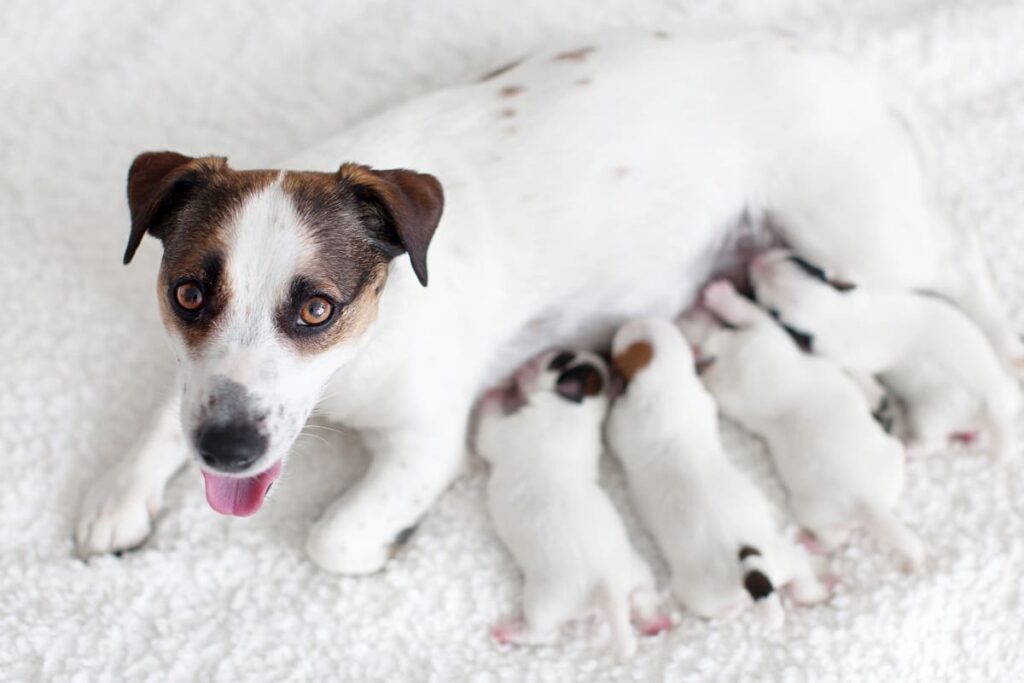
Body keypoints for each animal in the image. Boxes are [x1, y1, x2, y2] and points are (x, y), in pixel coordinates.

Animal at [473, 350, 667, 659]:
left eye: (554, 360)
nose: (522, 367)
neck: (576, 410)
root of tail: (608, 586)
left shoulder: (510, 429)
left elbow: (487, 433)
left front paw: (494, 394)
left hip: (543, 601)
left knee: (545, 633)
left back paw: (510, 632)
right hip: (640, 574)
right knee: (642, 599)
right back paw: (655, 622)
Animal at [602, 317, 827, 626]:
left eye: (621, 346)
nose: (636, 319)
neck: (665, 385)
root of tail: (747, 560)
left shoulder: (621, 423)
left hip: (701, 596)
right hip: (786, 557)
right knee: (802, 578)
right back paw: (820, 589)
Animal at [679, 278, 929, 573]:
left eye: (689, 318)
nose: (683, 315)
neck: (718, 356)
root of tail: (867, 501)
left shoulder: (758, 340)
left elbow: (748, 314)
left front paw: (718, 299)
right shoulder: (760, 341)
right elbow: (751, 313)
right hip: (813, 510)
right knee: (837, 537)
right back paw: (814, 544)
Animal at [749, 248, 1019, 462]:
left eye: (772, 310)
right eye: (796, 261)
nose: (754, 260)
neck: (837, 312)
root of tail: (995, 398)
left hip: (935, 410)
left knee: (935, 441)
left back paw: (912, 448)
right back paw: (972, 434)